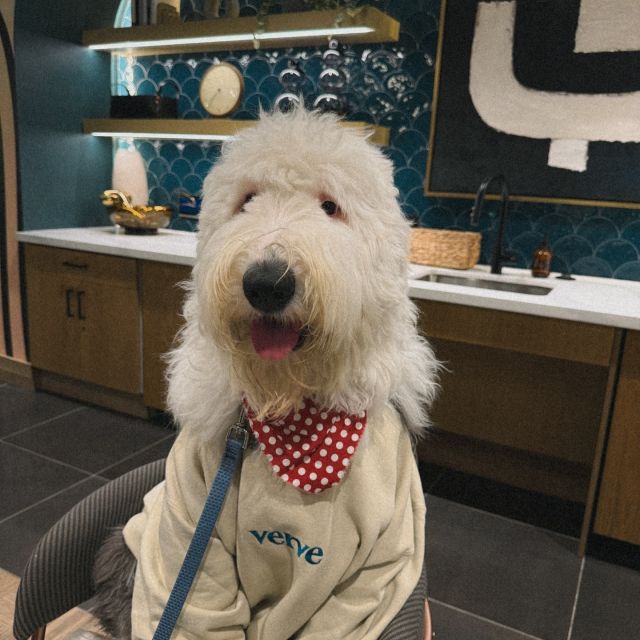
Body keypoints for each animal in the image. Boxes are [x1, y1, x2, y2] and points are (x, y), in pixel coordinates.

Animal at [114, 110, 440, 640]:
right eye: (246, 200)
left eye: (331, 206)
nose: (267, 283)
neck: (292, 414)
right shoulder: (192, 528)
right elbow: (201, 604)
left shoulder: (378, 568)